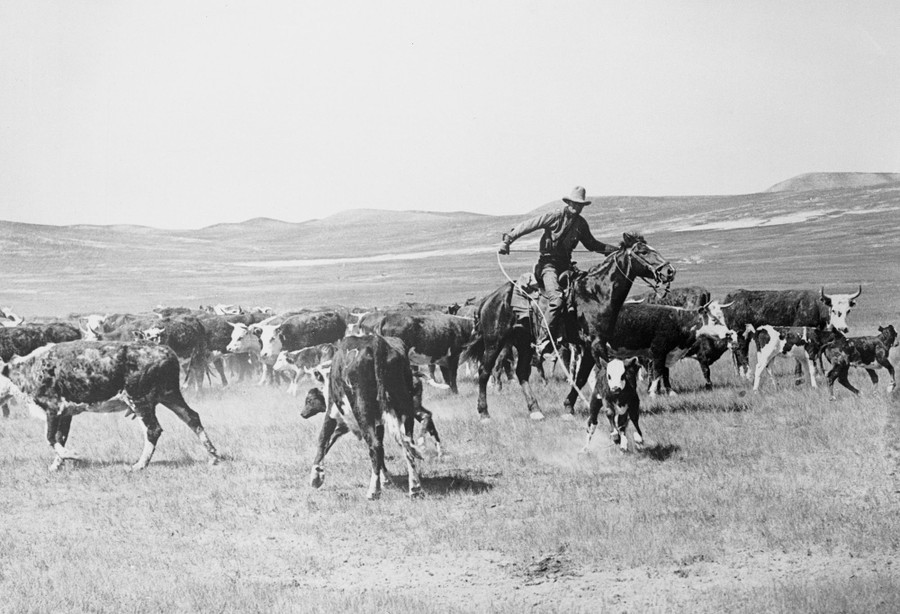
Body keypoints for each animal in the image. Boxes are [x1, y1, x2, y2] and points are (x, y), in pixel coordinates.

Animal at [0, 341, 221, 470]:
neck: (29, 368)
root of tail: (166, 352)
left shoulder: (53, 408)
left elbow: (50, 438)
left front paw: (73, 455)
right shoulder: (66, 413)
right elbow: (60, 438)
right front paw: (57, 464)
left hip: (140, 400)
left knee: (153, 429)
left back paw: (139, 465)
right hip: (170, 396)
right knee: (192, 418)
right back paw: (213, 456)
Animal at [300, 335, 427, 500]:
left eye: (309, 400)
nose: (302, 413)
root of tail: (377, 341)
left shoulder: (332, 412)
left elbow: (323, 438)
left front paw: (316, 477)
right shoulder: (378, 423)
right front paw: (386, 478)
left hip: (362, 410)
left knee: (375, 446)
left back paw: (373, 490)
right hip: (405, 407)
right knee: (405, 443)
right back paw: (415, 488)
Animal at [722, 286, 862, 379]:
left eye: (848, 310)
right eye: (833, 310)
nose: (844, 328)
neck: (815, 307)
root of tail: (731, 296)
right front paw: (799, 374)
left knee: (739, 351)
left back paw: (742, 374)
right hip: (739, 333)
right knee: (741, 351)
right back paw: (748, 375)